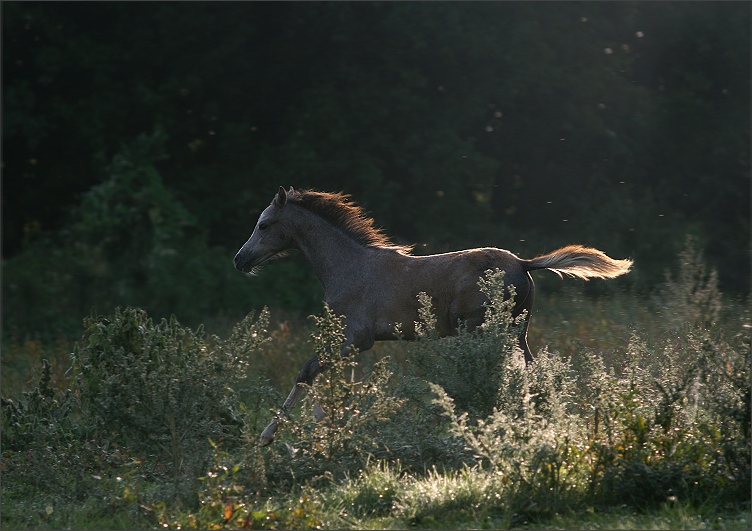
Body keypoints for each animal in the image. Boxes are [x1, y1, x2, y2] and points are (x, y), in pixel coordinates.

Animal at [235, 187, 636, 444]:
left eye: (264, 224)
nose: (240, 260)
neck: (349, 266)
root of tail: (523, 263)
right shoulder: (353, 344)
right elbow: (331, 382)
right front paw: (332, 428)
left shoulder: (356, 338)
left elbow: (307, 373)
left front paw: (272, 436)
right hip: (515, 331)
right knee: (530, 372)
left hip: (481, 331)